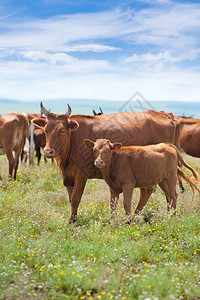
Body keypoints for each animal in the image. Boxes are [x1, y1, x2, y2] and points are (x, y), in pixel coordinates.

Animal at [32, 102, 180, 223]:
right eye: (45, 130)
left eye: (62, 131)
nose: (48, 151)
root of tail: (164, 114)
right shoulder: (68, 177)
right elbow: (70, 199)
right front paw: (73, 218)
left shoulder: (81, 175)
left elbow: (75, 199)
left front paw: (72, 222)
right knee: (161, 194)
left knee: (157, 193)